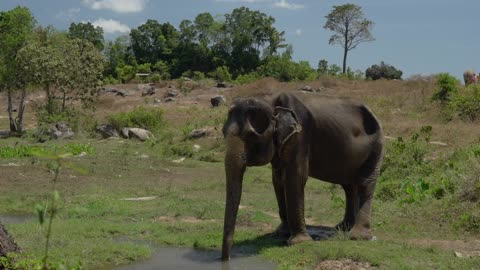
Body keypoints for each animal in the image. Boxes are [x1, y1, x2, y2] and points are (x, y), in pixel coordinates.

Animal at [220, 92, 382, 260]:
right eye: (223, 132)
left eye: (251, 135)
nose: (226, 259)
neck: (270, 100)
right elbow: (278, 181)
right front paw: (281, 234)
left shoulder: (300, 135)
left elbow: (295, 178)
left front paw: (298, 242)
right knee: (349, 187)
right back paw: (342, 228)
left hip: (375, 146)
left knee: (365, 183)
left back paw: (358, 236)